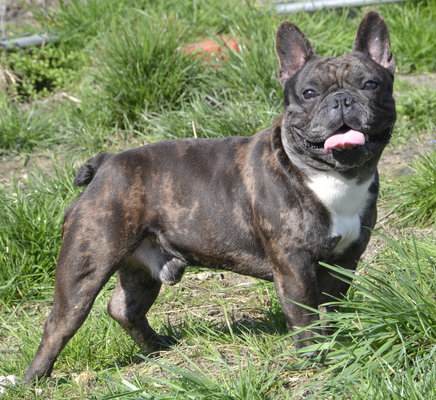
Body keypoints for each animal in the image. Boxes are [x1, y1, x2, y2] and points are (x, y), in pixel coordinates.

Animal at [25, 10, 396, 382]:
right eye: (309, 93)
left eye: (370, 85)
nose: (341, 99)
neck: (331, 176)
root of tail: (106, 163)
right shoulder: (295, 266)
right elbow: (305, 316)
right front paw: (316, 358)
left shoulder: (346, 260)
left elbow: (331, 308)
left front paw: (336, 341)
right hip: (85, 266)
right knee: (59, 323)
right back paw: (34, 378)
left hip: (140, 267)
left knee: (124, 307)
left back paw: (156, 346)